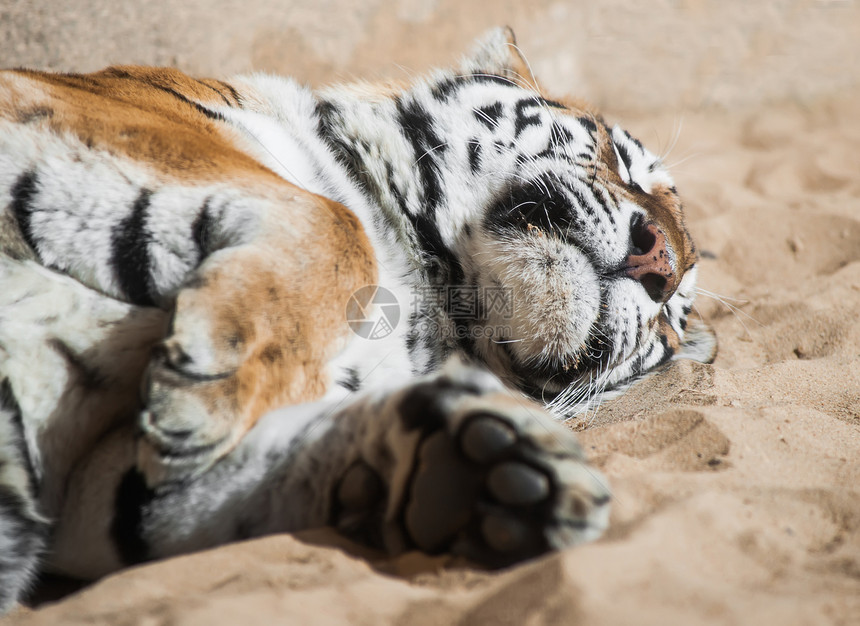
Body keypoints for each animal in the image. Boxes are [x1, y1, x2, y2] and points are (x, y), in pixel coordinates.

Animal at [0, 26, 712, 608]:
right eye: (621, 161)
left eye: (669, 320)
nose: (660, 263)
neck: (426, 298)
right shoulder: (119, 119)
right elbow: (338, 224)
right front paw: (206, 396)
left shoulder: (94, 483)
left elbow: (257, 467)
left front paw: (481, 470)